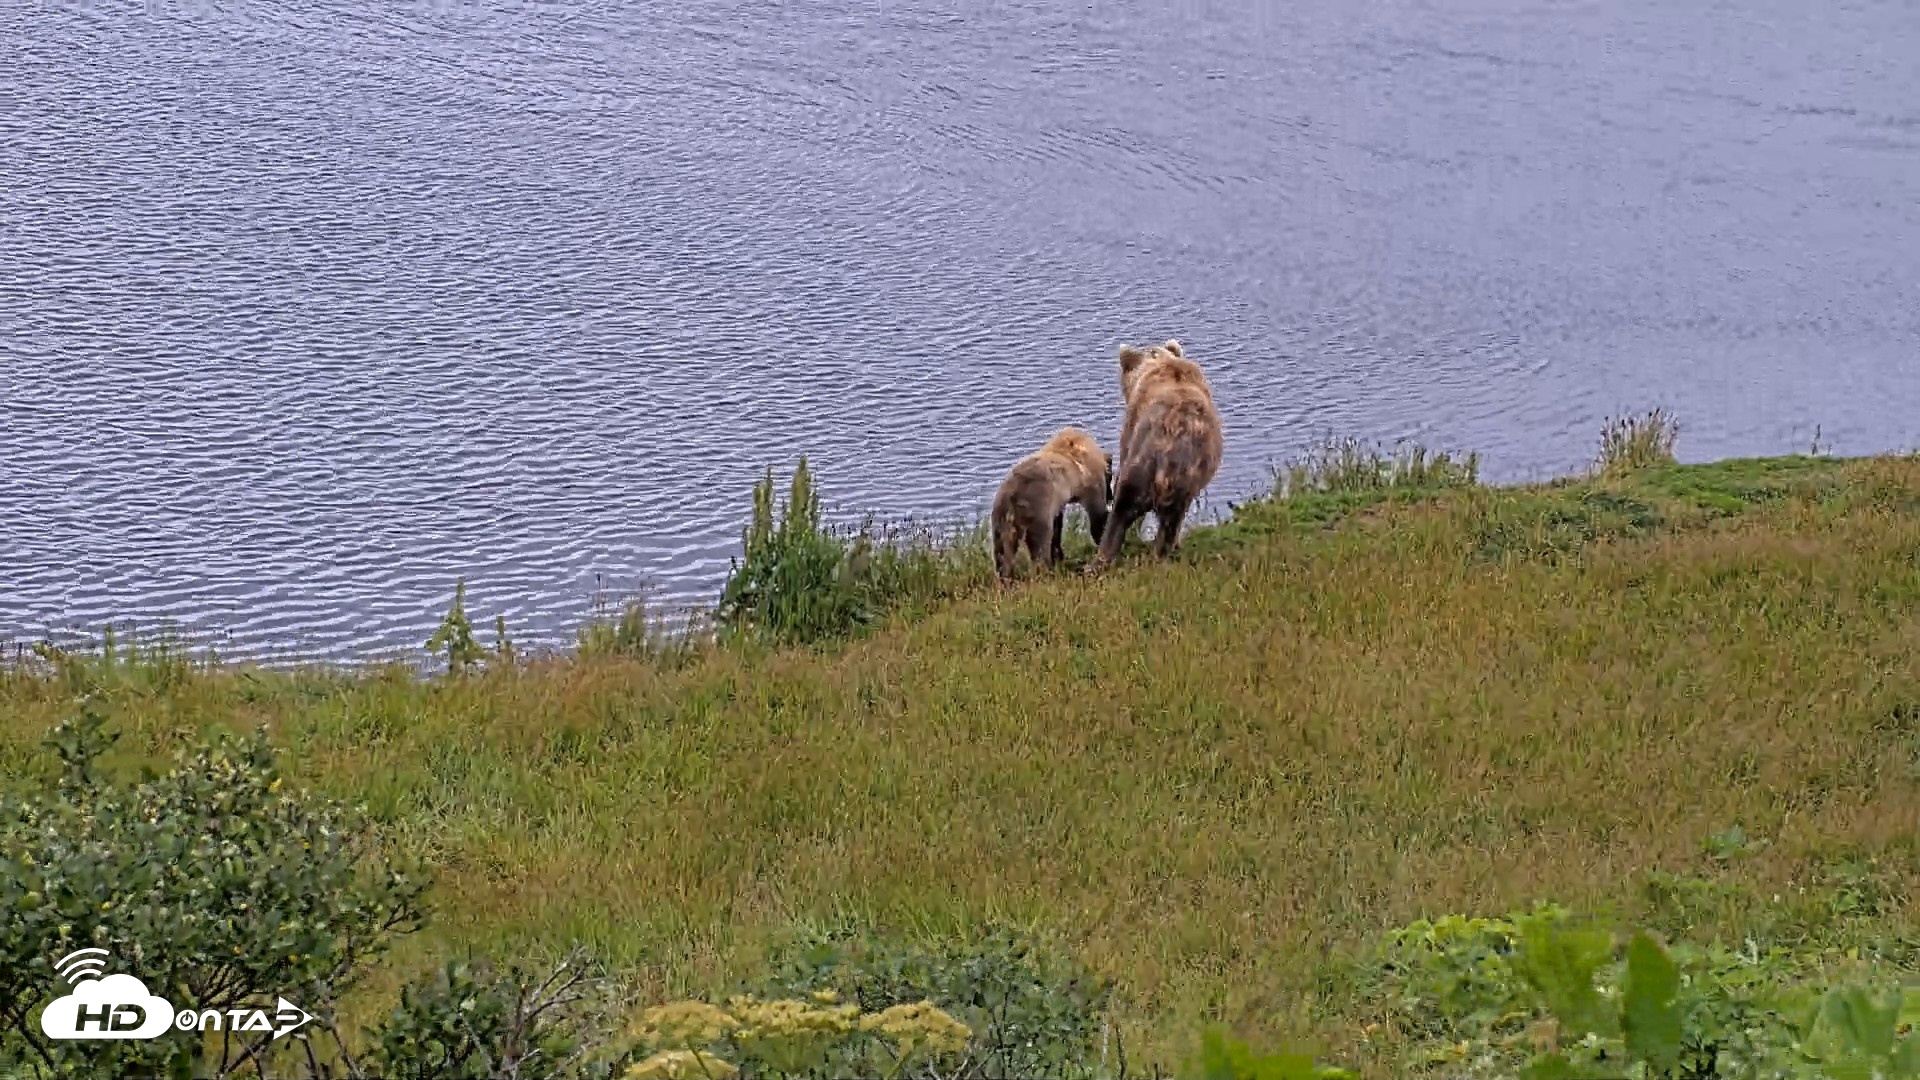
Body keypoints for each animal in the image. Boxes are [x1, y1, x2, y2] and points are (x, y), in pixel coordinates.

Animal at [991, 427, 1114, 582]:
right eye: (1110, 479)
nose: (1111, 497)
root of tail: (1012, 497)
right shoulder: (1088, 483)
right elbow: (1096, 512)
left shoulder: (1057, 501)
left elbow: (1057, 525)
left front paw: (1059, 555)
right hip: (1036, 508)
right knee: (1038, 544)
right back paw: (1046, 572)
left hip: (1001, 517)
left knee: (1003, 550)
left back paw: (1006, 579)